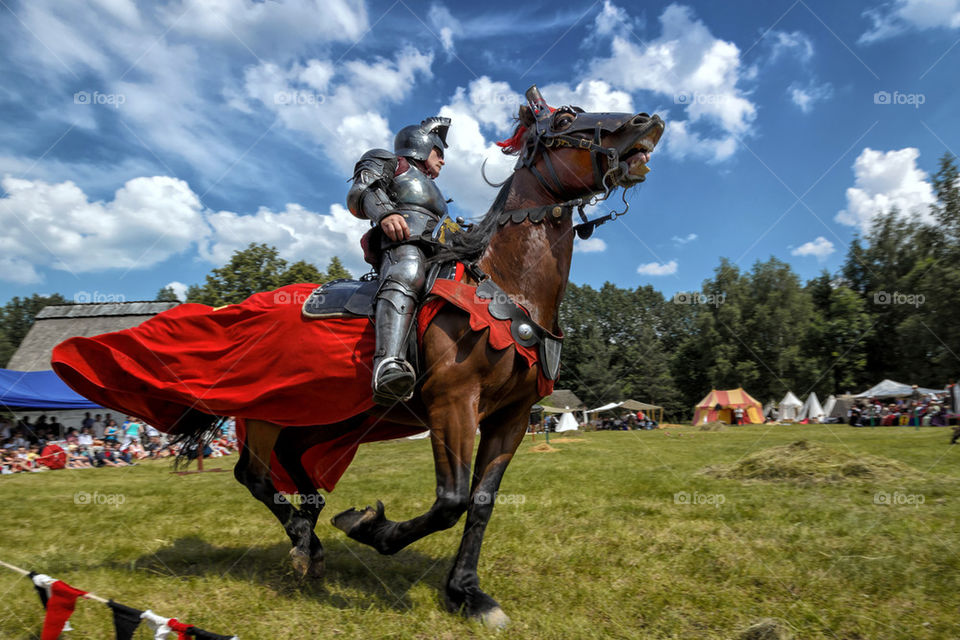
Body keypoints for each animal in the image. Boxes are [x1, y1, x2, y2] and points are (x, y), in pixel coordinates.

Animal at [54, 87, 660, 628]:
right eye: (567, 119)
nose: (646, 123)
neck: (507, 285)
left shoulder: (509, 417)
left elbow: (481, 502)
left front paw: (467, 592)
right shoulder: (453, 404)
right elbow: (451, 500)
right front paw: (373, 528)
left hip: (320, 415)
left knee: (293, 464)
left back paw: (310, 527)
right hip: (266, 412)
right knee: (254, 474)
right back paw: (306, 537)